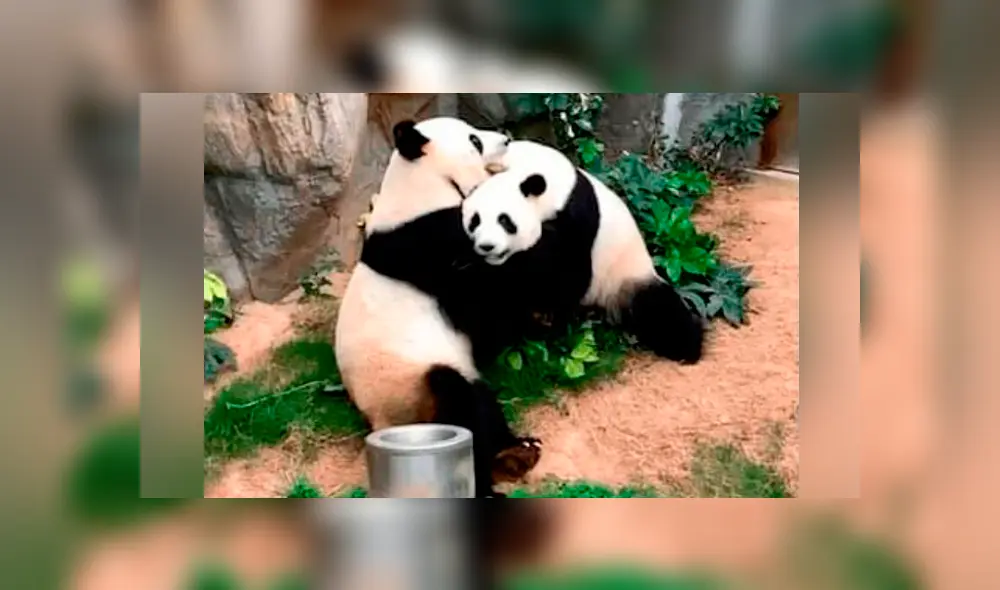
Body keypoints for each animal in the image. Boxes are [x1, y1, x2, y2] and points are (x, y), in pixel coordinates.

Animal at [334, 117, 543, 498]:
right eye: (475, 141)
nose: (506, 139)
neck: (421, 186)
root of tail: (380, 424)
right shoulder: (429, 246)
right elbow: (484, 311)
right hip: (411, 384)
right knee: (459, 401)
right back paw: (489, 480)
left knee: (481, 402)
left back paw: (516, 451)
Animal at [460, 139, 705, 363]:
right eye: (475, 221)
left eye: (504, 221)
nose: (487, 246)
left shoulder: (576, 217)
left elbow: (566, 274)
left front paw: (547, 320)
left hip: (626, 275)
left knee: (660, 311)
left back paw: (688, 347)